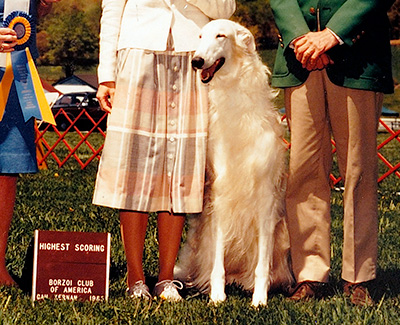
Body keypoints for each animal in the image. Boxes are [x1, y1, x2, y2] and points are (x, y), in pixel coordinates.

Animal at [177, 20, 292, 306]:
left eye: (221, 35)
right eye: (200, 36)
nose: (196, 61)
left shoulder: (266, 200)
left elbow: (262, 265)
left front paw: (259, 300)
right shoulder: (221, 196)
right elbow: (218, 261)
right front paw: (217, 296)